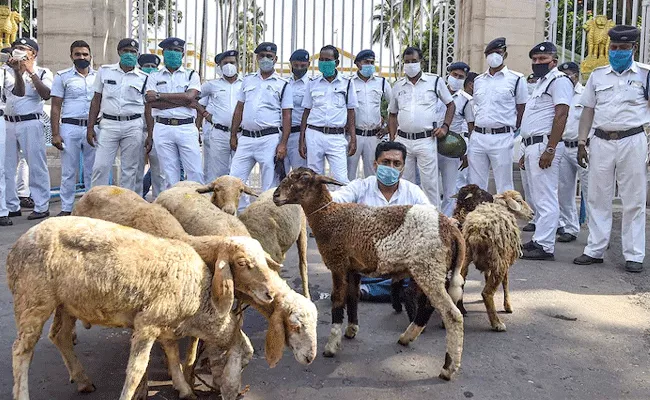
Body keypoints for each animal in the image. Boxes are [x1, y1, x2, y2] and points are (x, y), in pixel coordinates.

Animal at [6, 216, 276, 400]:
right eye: (243, 263)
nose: (271, 293)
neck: (200, 302)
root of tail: (16, 246)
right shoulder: (147, 324)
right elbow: (136, 370)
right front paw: (129, 395)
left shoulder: (166, 326)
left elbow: (173, 355)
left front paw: (184, 388)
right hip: (33, 299)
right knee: (21, 350)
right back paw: (23, 392)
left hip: (66, 303)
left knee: (59, 336)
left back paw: (83, 380)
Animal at [270, 168, 464, 382]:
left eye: (304, 178)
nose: (276, 196)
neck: (329, 217)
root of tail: (451, 228)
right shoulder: (353, 268)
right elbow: (352, 297)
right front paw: (351, 330)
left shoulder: (338, 263)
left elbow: (338, 300)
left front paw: (331, 346)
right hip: (428, 269)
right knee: (427, 307)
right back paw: (406, 338)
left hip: (429, 266)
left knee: (451, 315)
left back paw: (448, 369)